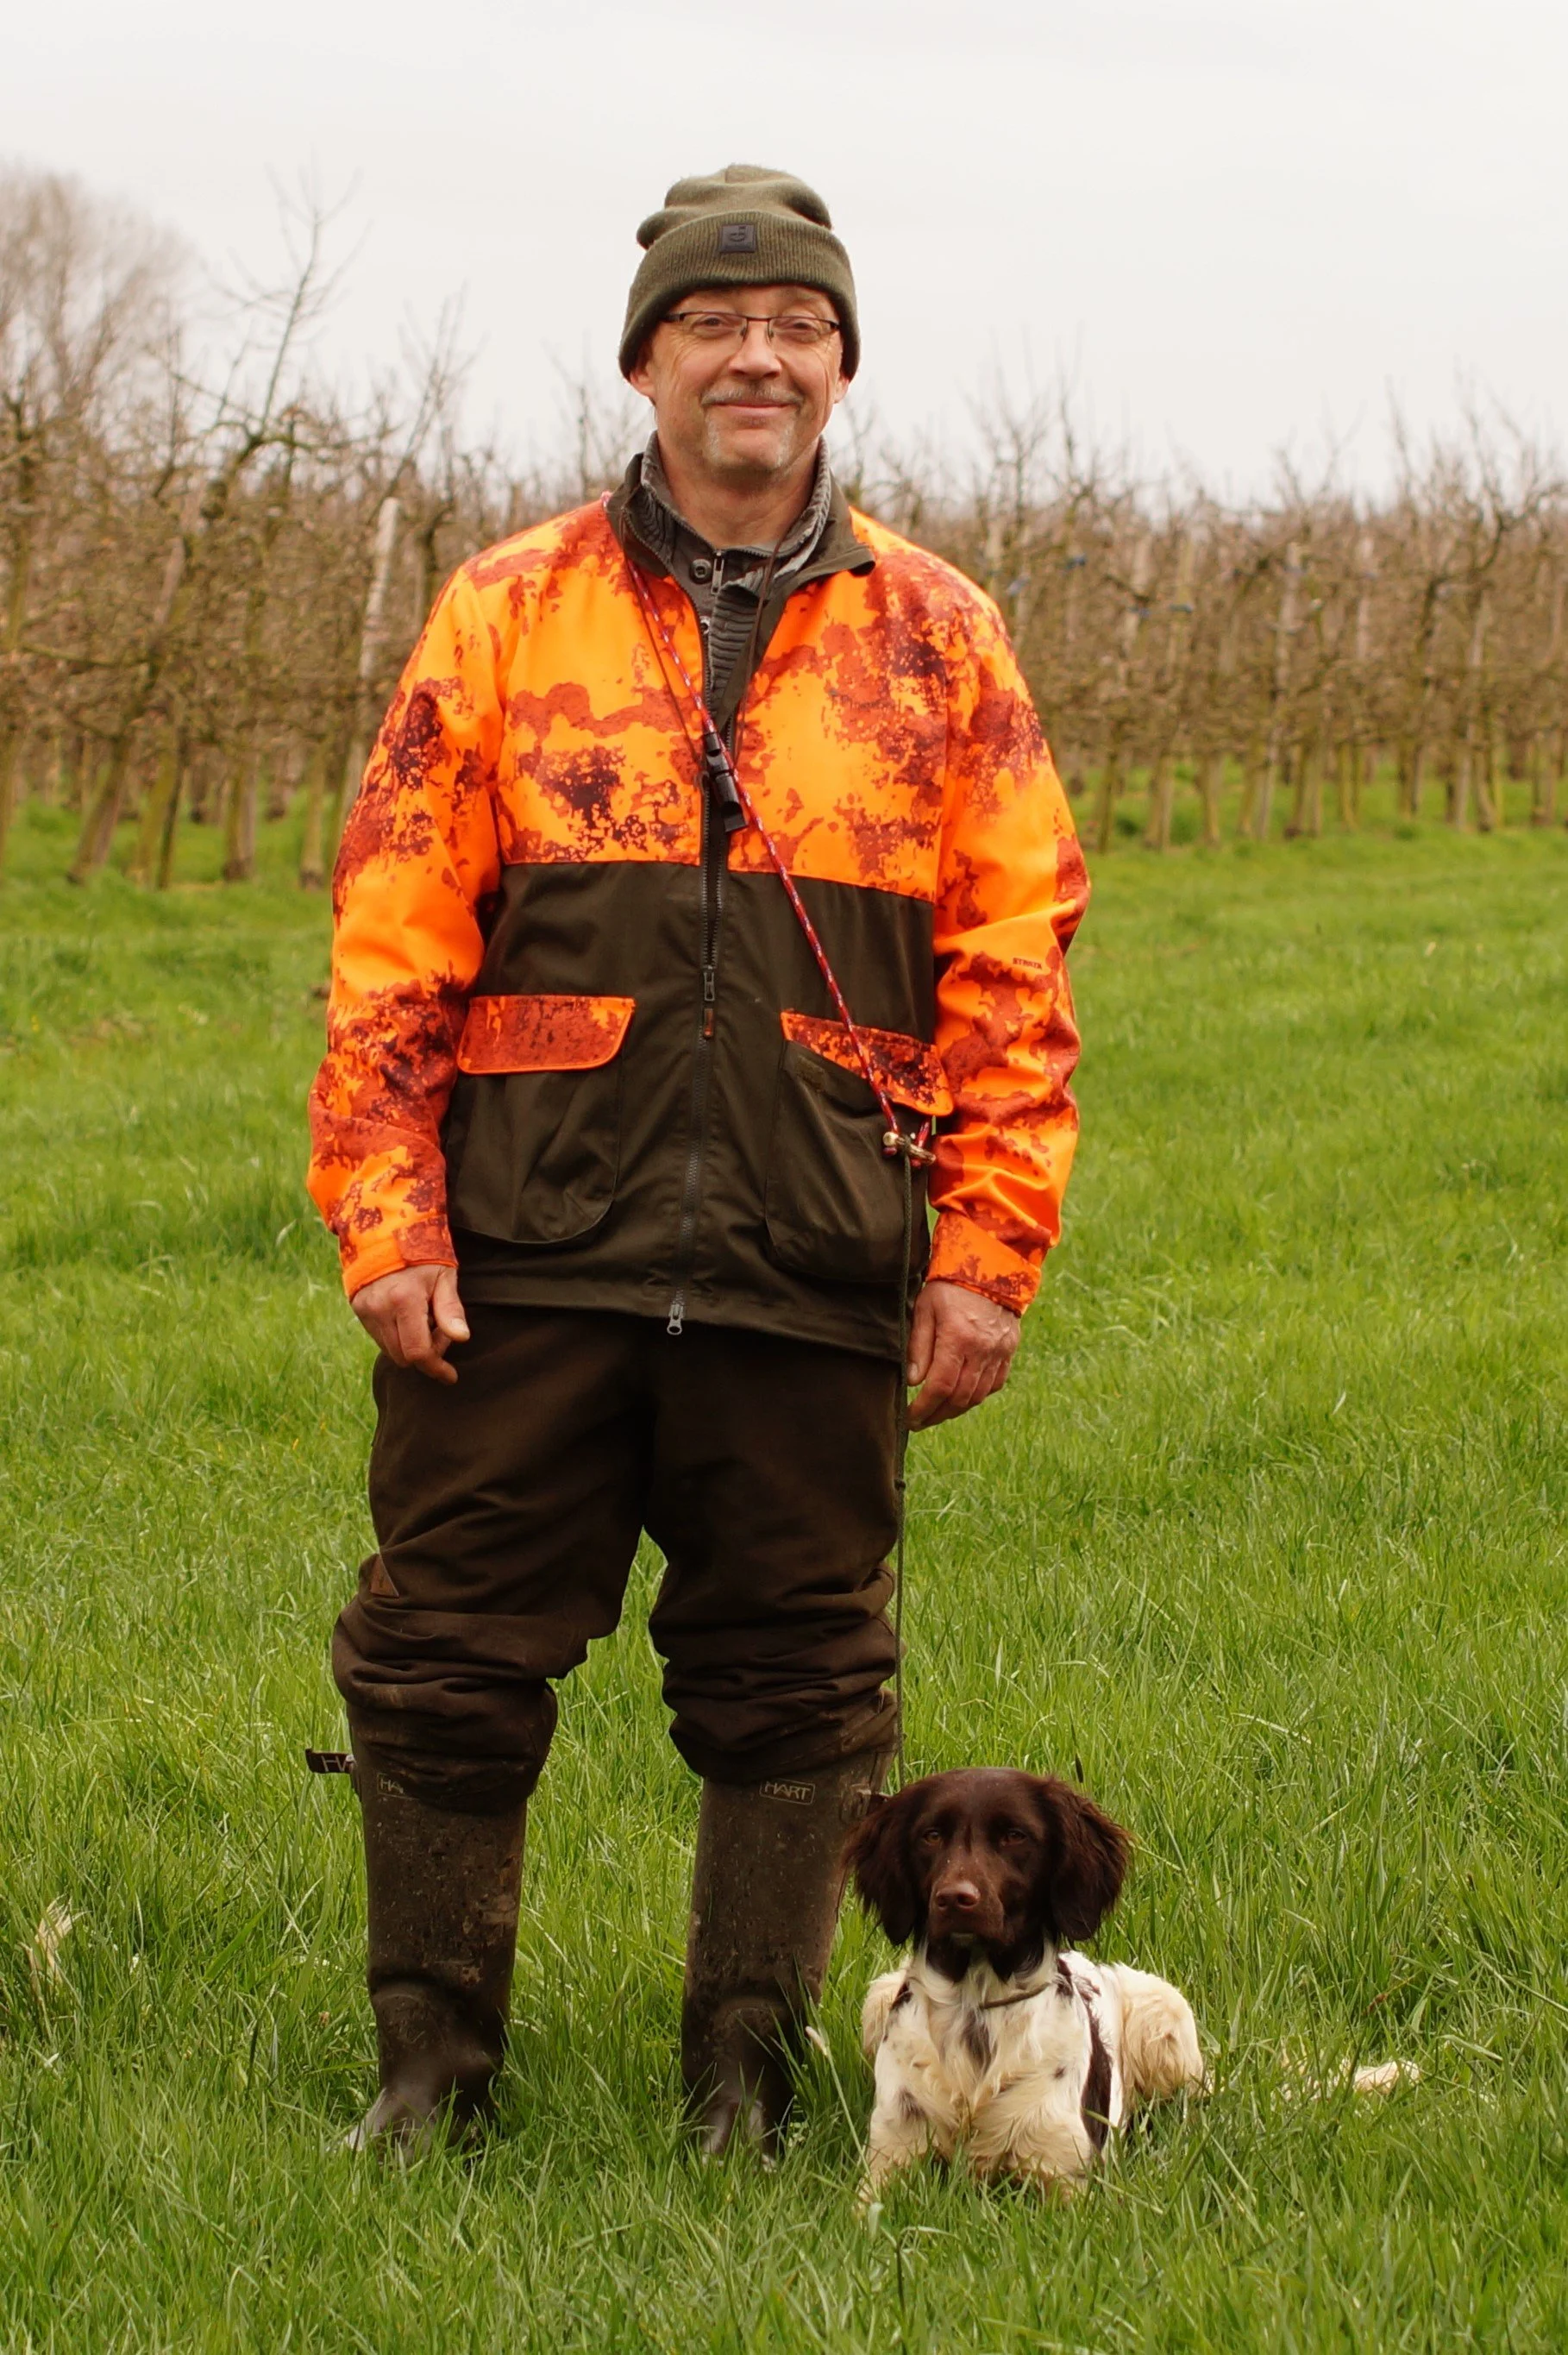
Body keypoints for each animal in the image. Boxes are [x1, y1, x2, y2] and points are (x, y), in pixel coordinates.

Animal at [845, 1768, 1203, 2197]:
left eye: (1014, 1835)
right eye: (931, 1835)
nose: (954, 1898)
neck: (977, 2002)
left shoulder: (1065, 2174)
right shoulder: (889, 2160)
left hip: (1165, 2013)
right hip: (878, 1996)